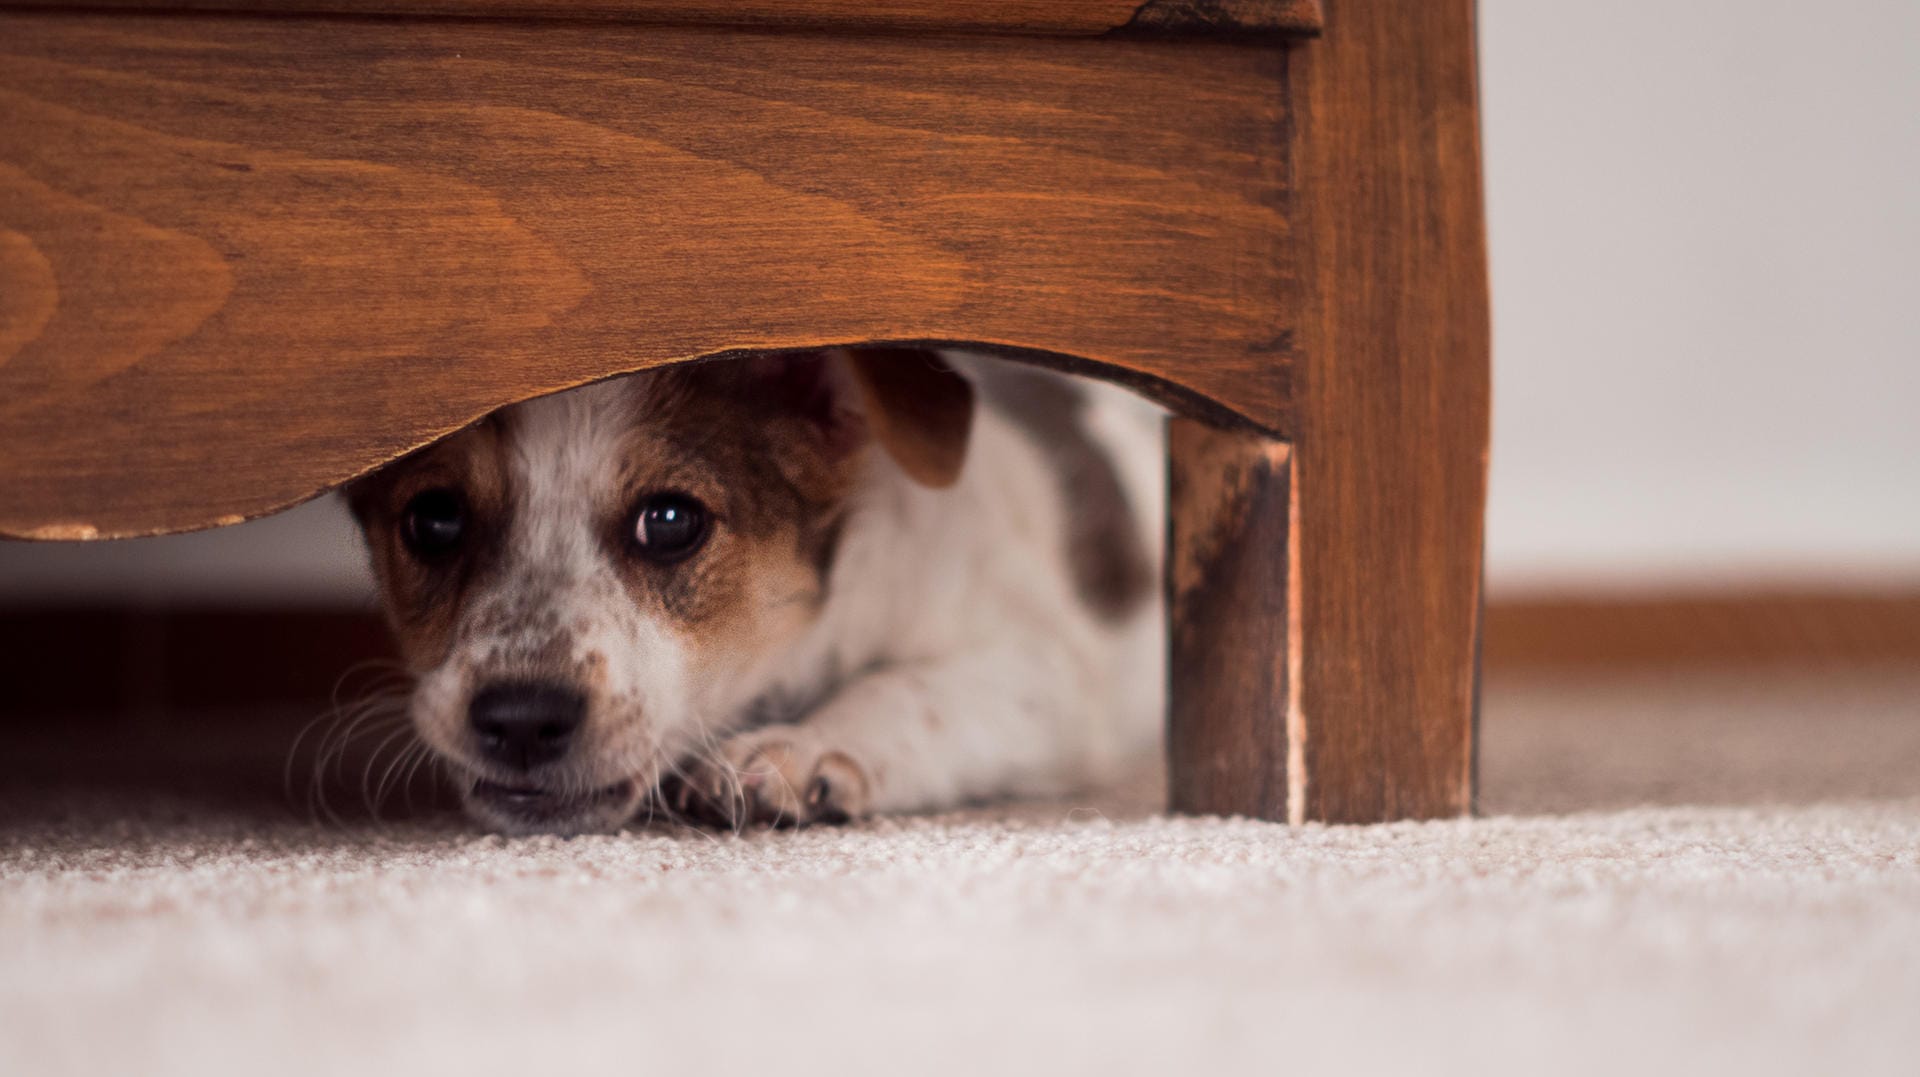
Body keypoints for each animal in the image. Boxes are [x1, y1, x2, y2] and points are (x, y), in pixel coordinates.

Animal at [353, 349, 1167, 837]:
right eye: (434, 519)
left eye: (671, 521)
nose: (521, 719)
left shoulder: (1045, 671)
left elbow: (909, 688)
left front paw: (802, 747)